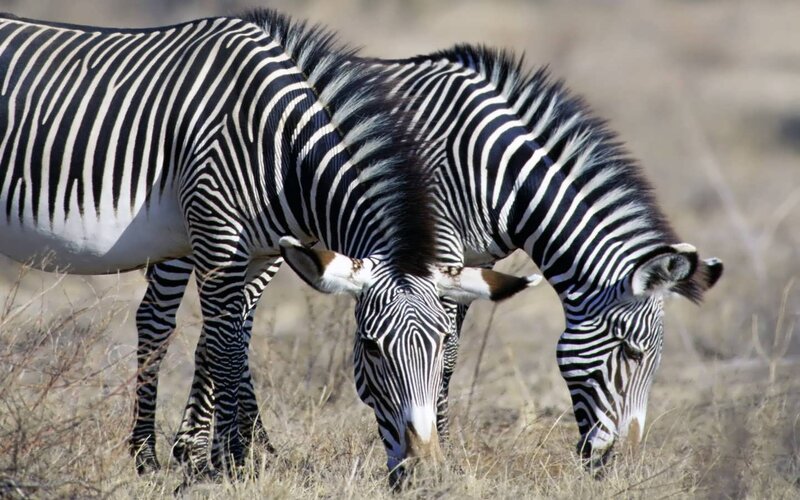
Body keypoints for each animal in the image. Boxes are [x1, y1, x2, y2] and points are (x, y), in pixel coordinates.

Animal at [0, 10, 537, 479]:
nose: (424, 472)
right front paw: (230, 463)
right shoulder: (217, 236)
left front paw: (226, 456)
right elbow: (224, 346)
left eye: (443, 344)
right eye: (369, 347)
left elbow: (235, 339)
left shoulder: (258, 252)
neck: (282, 149)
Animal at [132, 47, 722, 471]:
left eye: (654, 360)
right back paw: (176, 452)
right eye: (630, 353)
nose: (623, 465)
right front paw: (433, 444)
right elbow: (445, 353)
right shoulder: (435, 249)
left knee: (231, 322)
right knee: (162, 317)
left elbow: (448, 352)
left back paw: (233, 448)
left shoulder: (467, 265)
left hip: (269, 239)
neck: (497, 170)